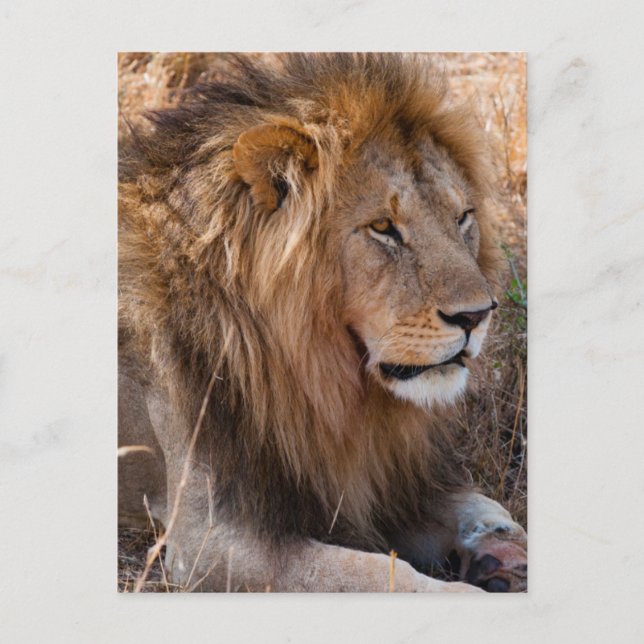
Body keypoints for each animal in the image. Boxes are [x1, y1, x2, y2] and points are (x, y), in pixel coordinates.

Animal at [118, 53, 527, 592]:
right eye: (383, 228)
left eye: (462, 217)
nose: (477, 316)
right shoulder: (213, 542)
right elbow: (383, 576)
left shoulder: (376, 477)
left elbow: (484, 505)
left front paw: (505, 554)